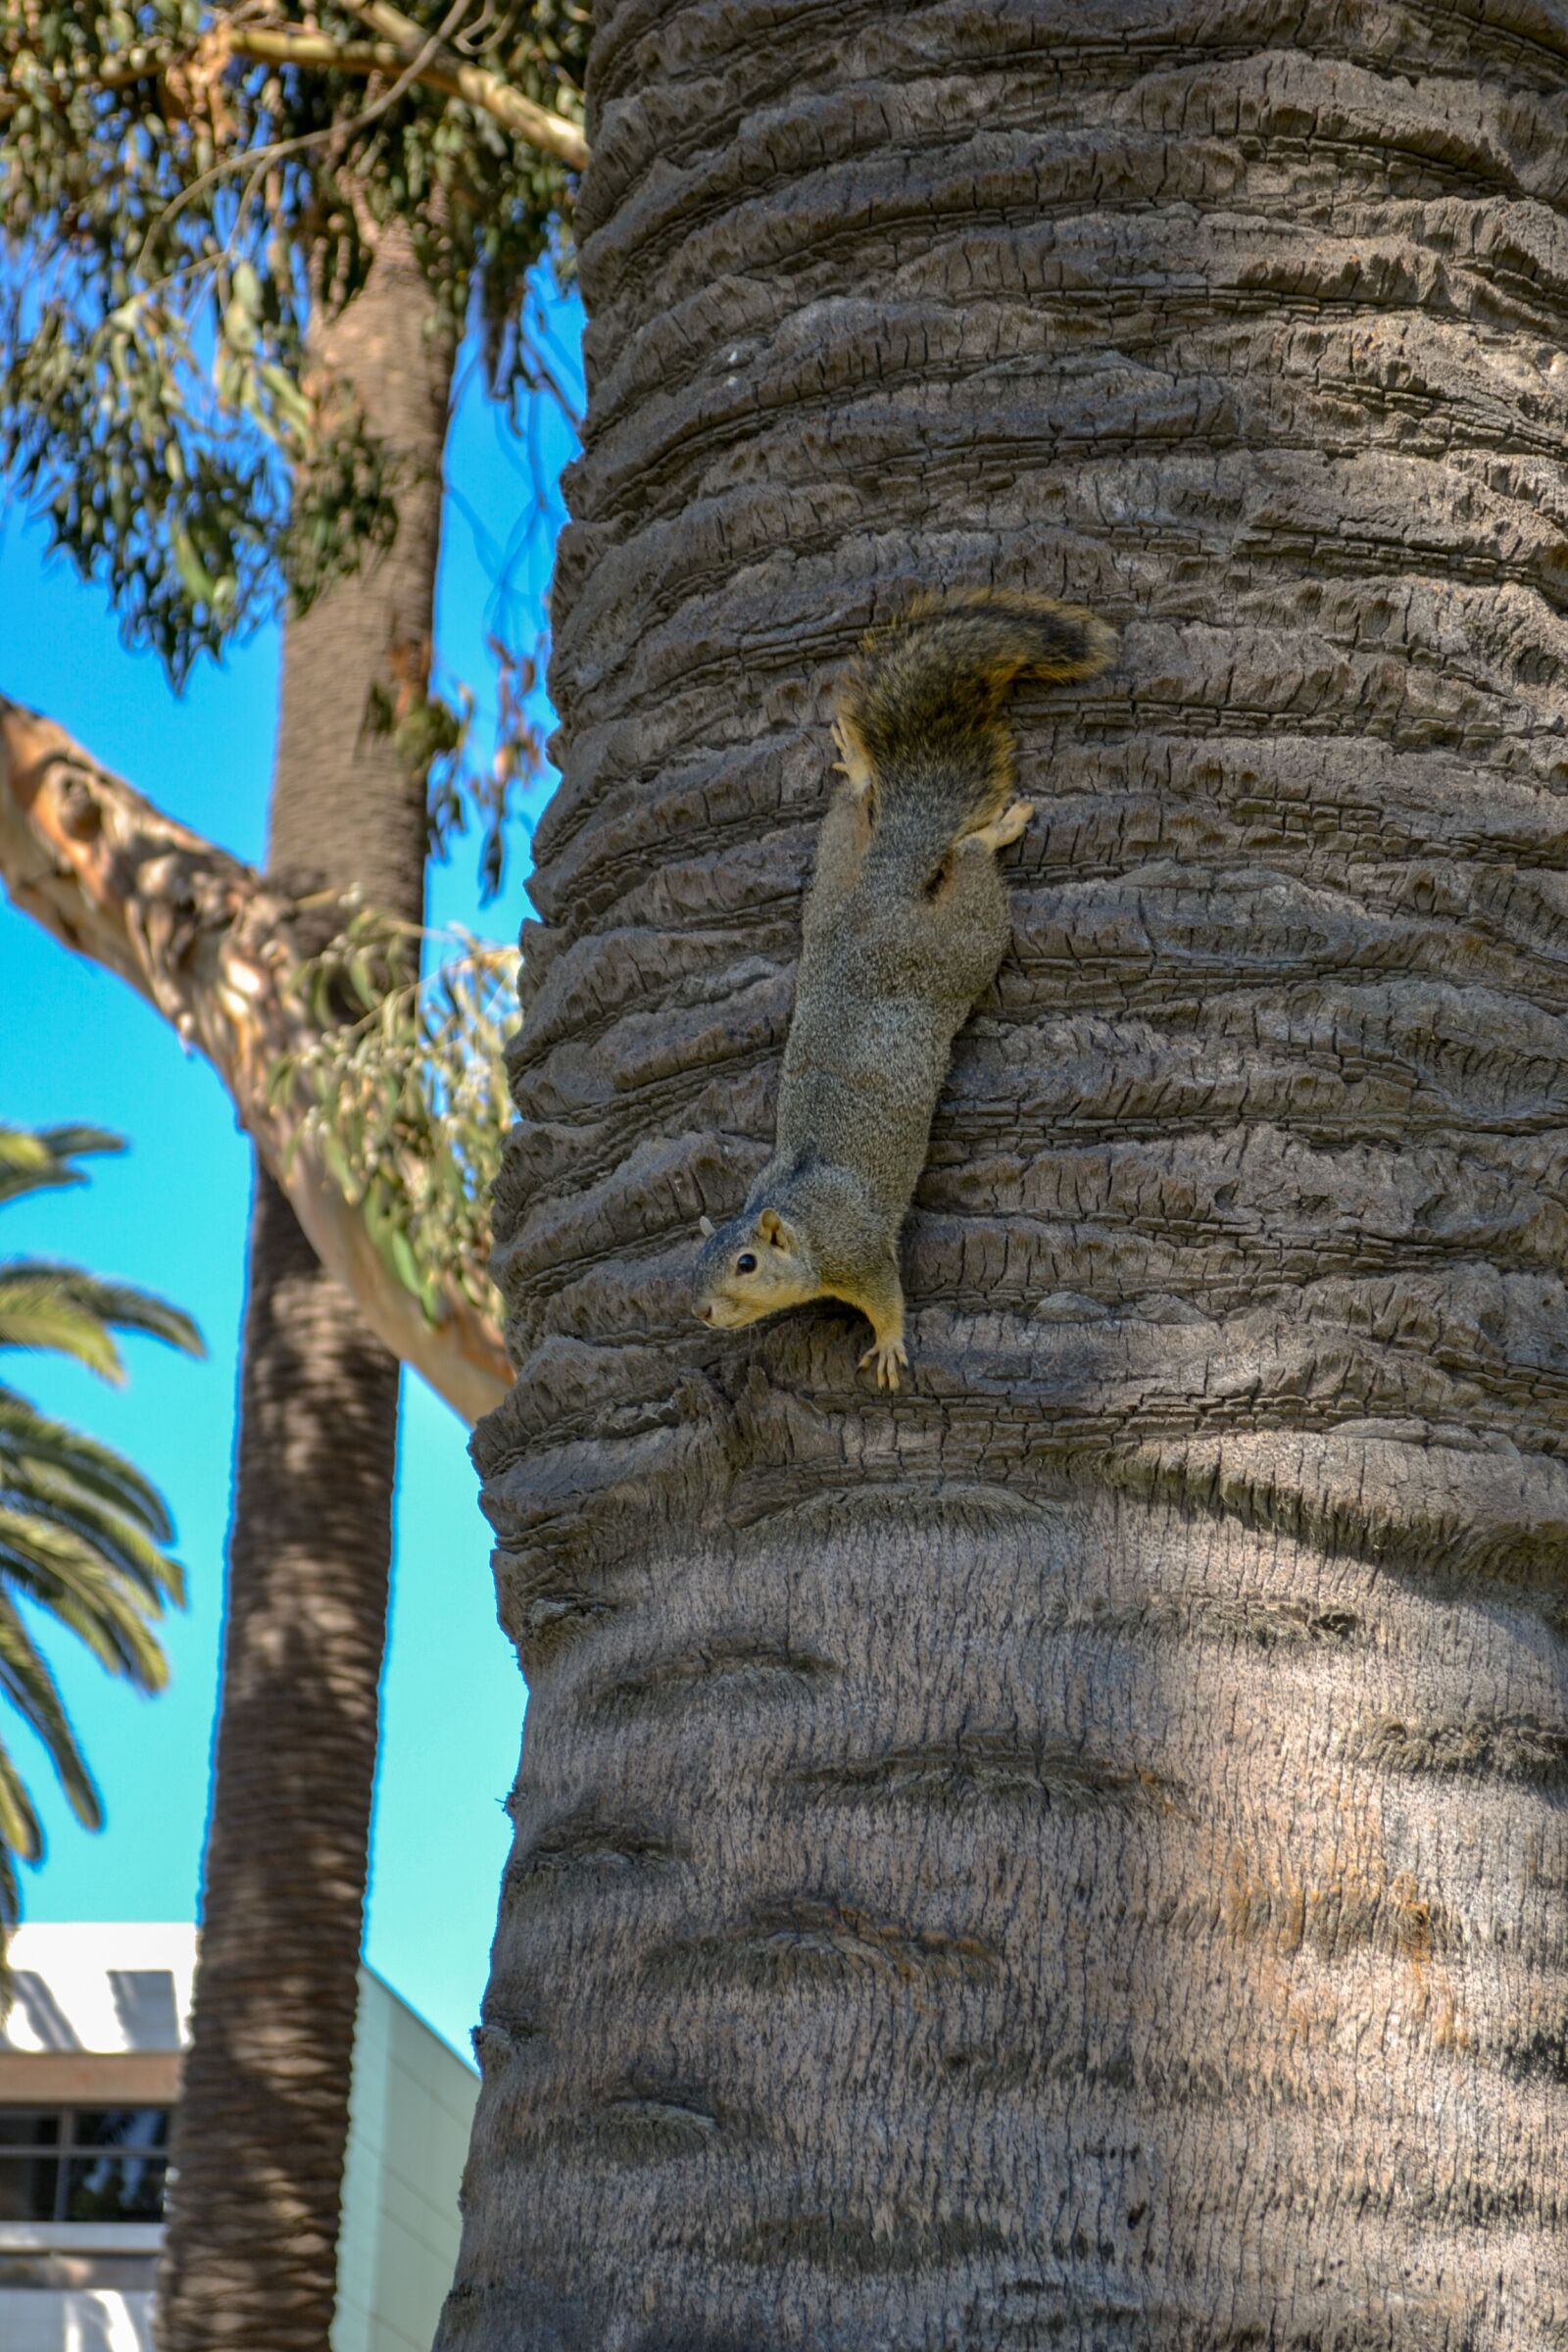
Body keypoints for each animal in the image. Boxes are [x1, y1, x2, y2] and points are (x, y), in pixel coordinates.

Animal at [690, 589, 1116, 1389]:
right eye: (694, 1263)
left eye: (746, 1263)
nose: (700, 1313)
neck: (799, 1214)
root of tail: (882, 893)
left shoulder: (859, 1252)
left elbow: (888, 1297)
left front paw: (889, 1347)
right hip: (832, 884)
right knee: (855, 817)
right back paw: (860, 766)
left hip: (956, 947)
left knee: (969, 863)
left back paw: (994, 829)